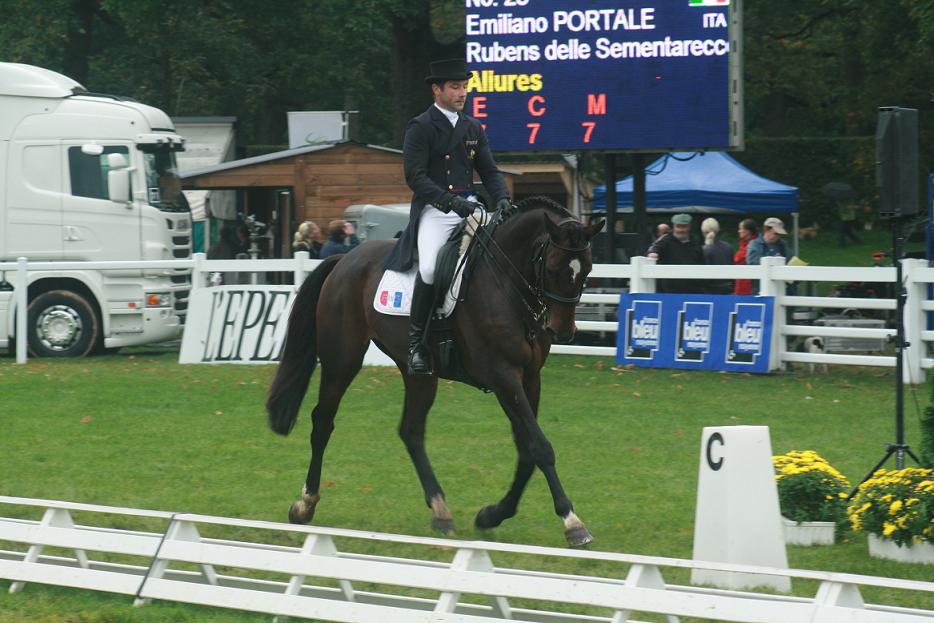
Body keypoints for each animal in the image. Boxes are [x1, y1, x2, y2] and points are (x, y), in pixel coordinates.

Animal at [268, 196, 608, 544]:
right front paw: (572, 522)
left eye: (587, 269)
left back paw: (440, 510)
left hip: (419, 373)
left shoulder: (529, 378)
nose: (562, 331)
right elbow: (540, 446)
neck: (508, 284)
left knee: (411, 430)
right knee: (323, 422)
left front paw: (492, 514)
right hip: (341, 361)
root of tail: (344, 259)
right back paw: (305, 504)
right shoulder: (503, 376)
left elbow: (527, 450)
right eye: (552, 267)